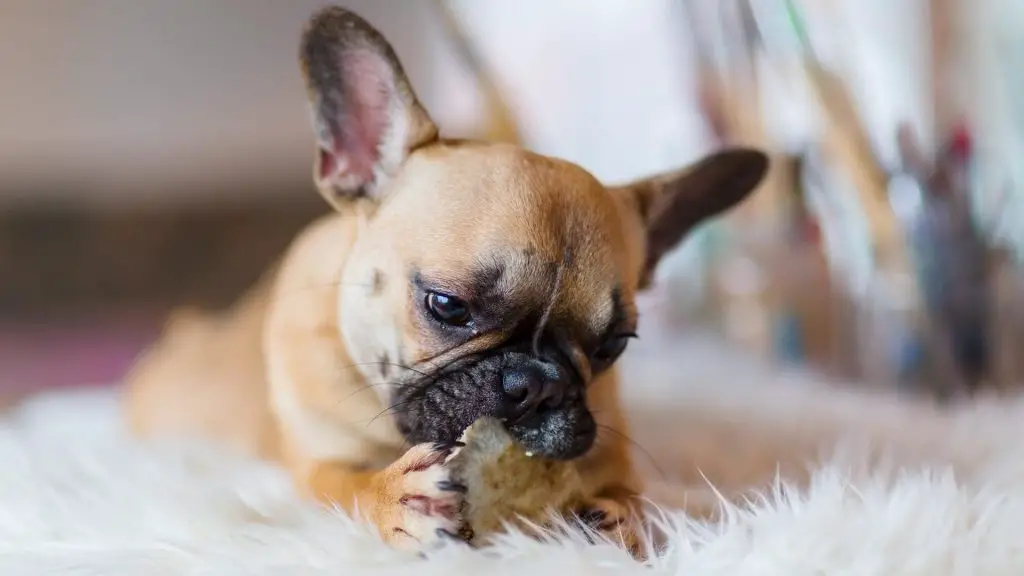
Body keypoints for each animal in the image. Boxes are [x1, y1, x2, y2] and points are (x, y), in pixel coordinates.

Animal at [123, 5, 765, 553]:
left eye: (613, 346)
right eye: (448, 305)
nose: (540, 385)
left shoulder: (611, 450)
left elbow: (628, 488)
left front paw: (618, 515)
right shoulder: (313, 464)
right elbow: (342, 486)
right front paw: (392, 496)